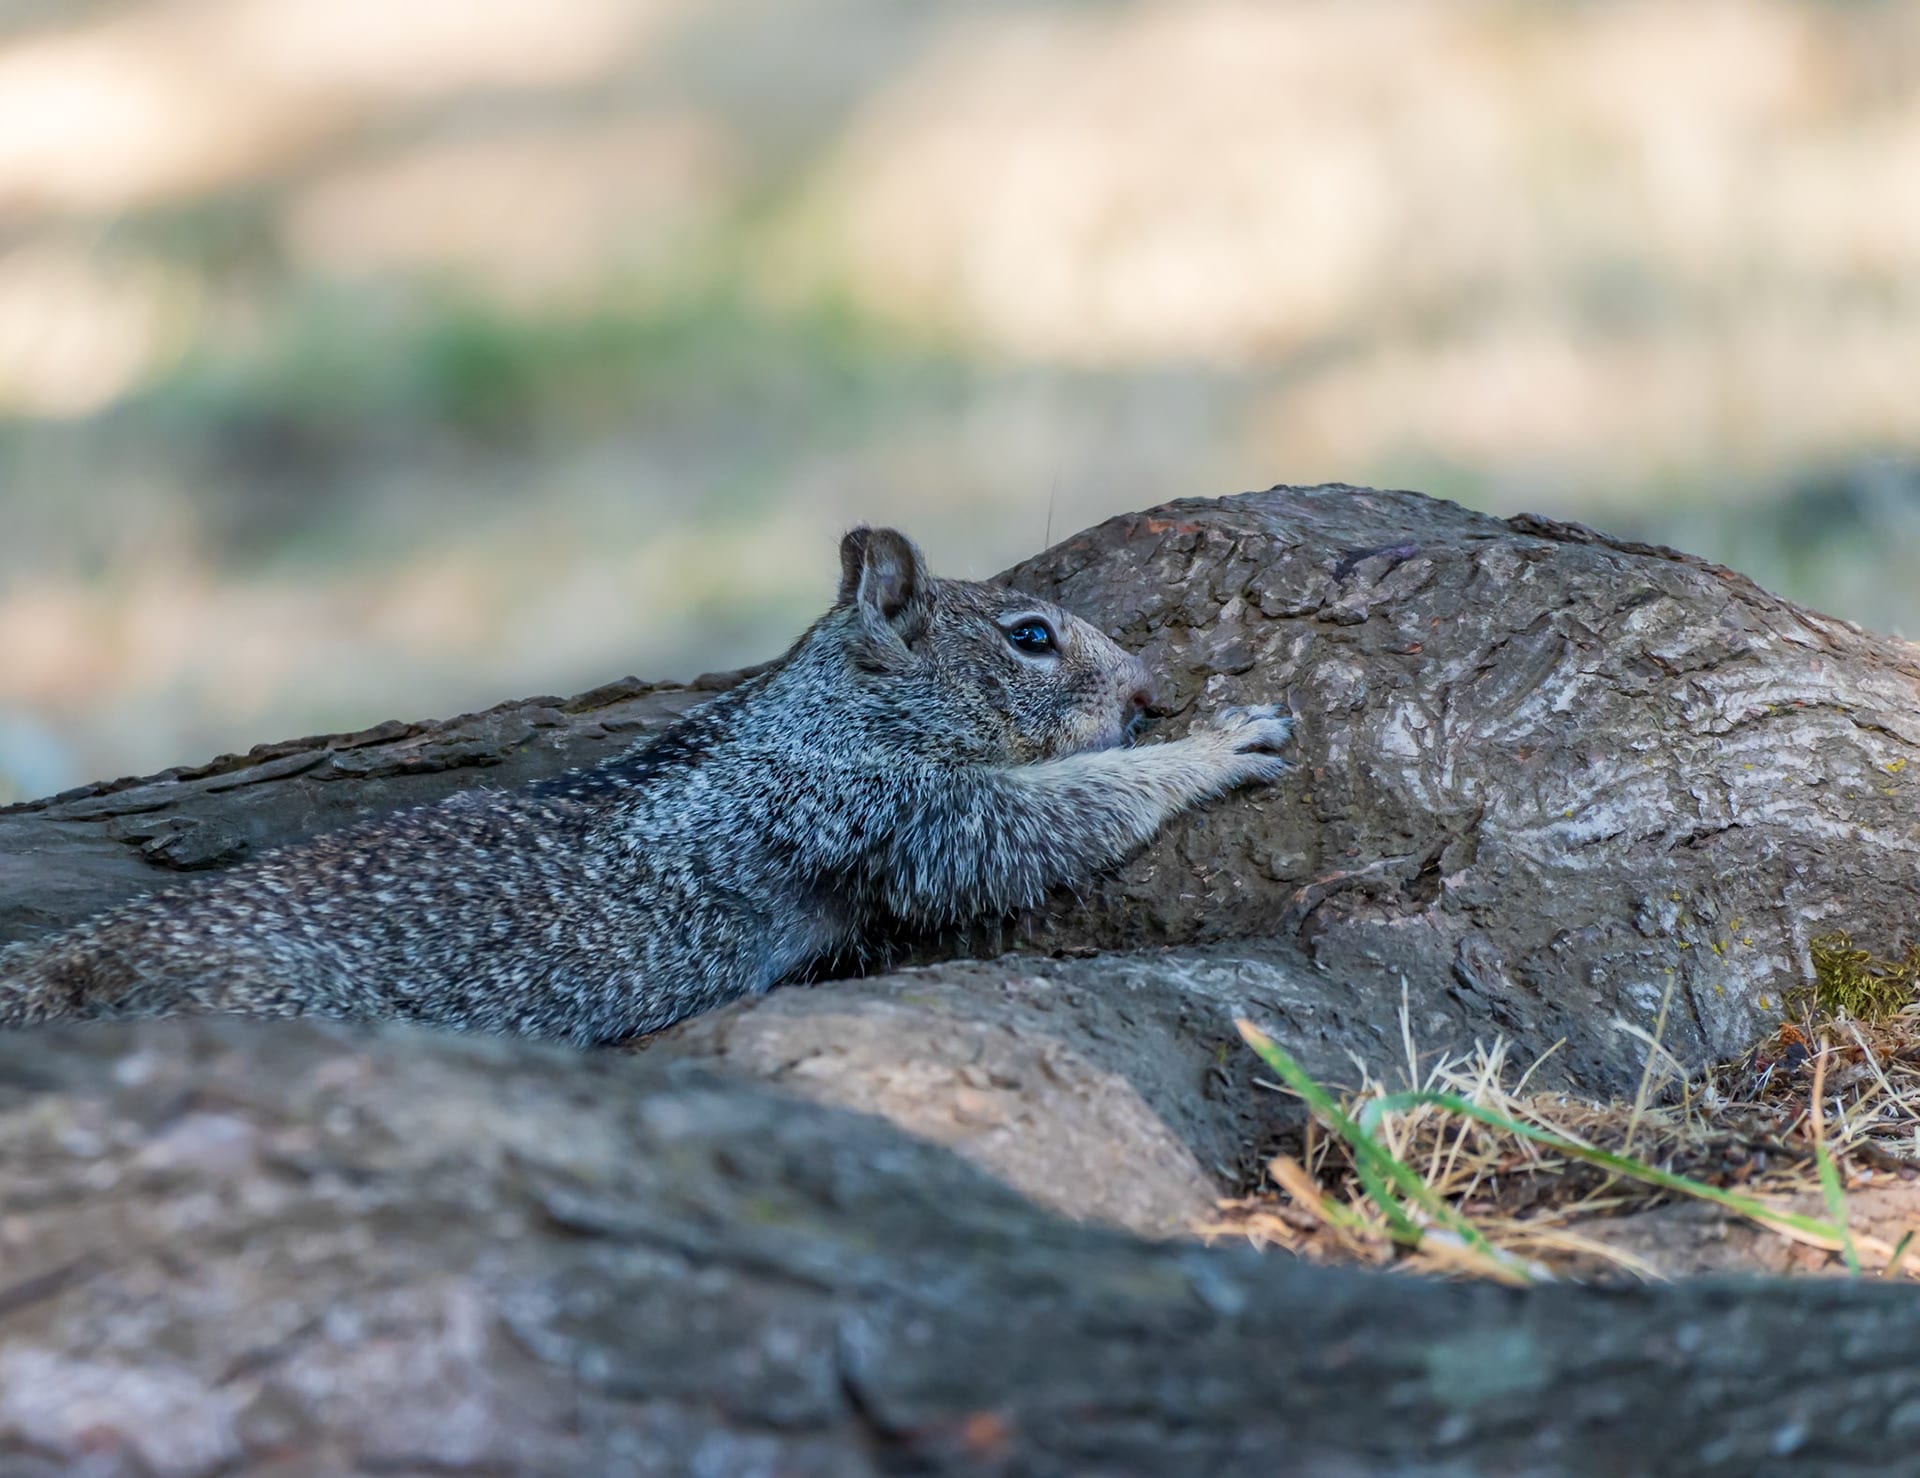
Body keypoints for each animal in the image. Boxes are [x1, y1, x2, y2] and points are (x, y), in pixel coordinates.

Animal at [0, 527, 1292, 1044]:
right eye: (1031, 637)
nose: (1156, 684)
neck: (819, 711)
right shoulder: (884, 806)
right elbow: (1040, 819)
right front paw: (1221, 743)